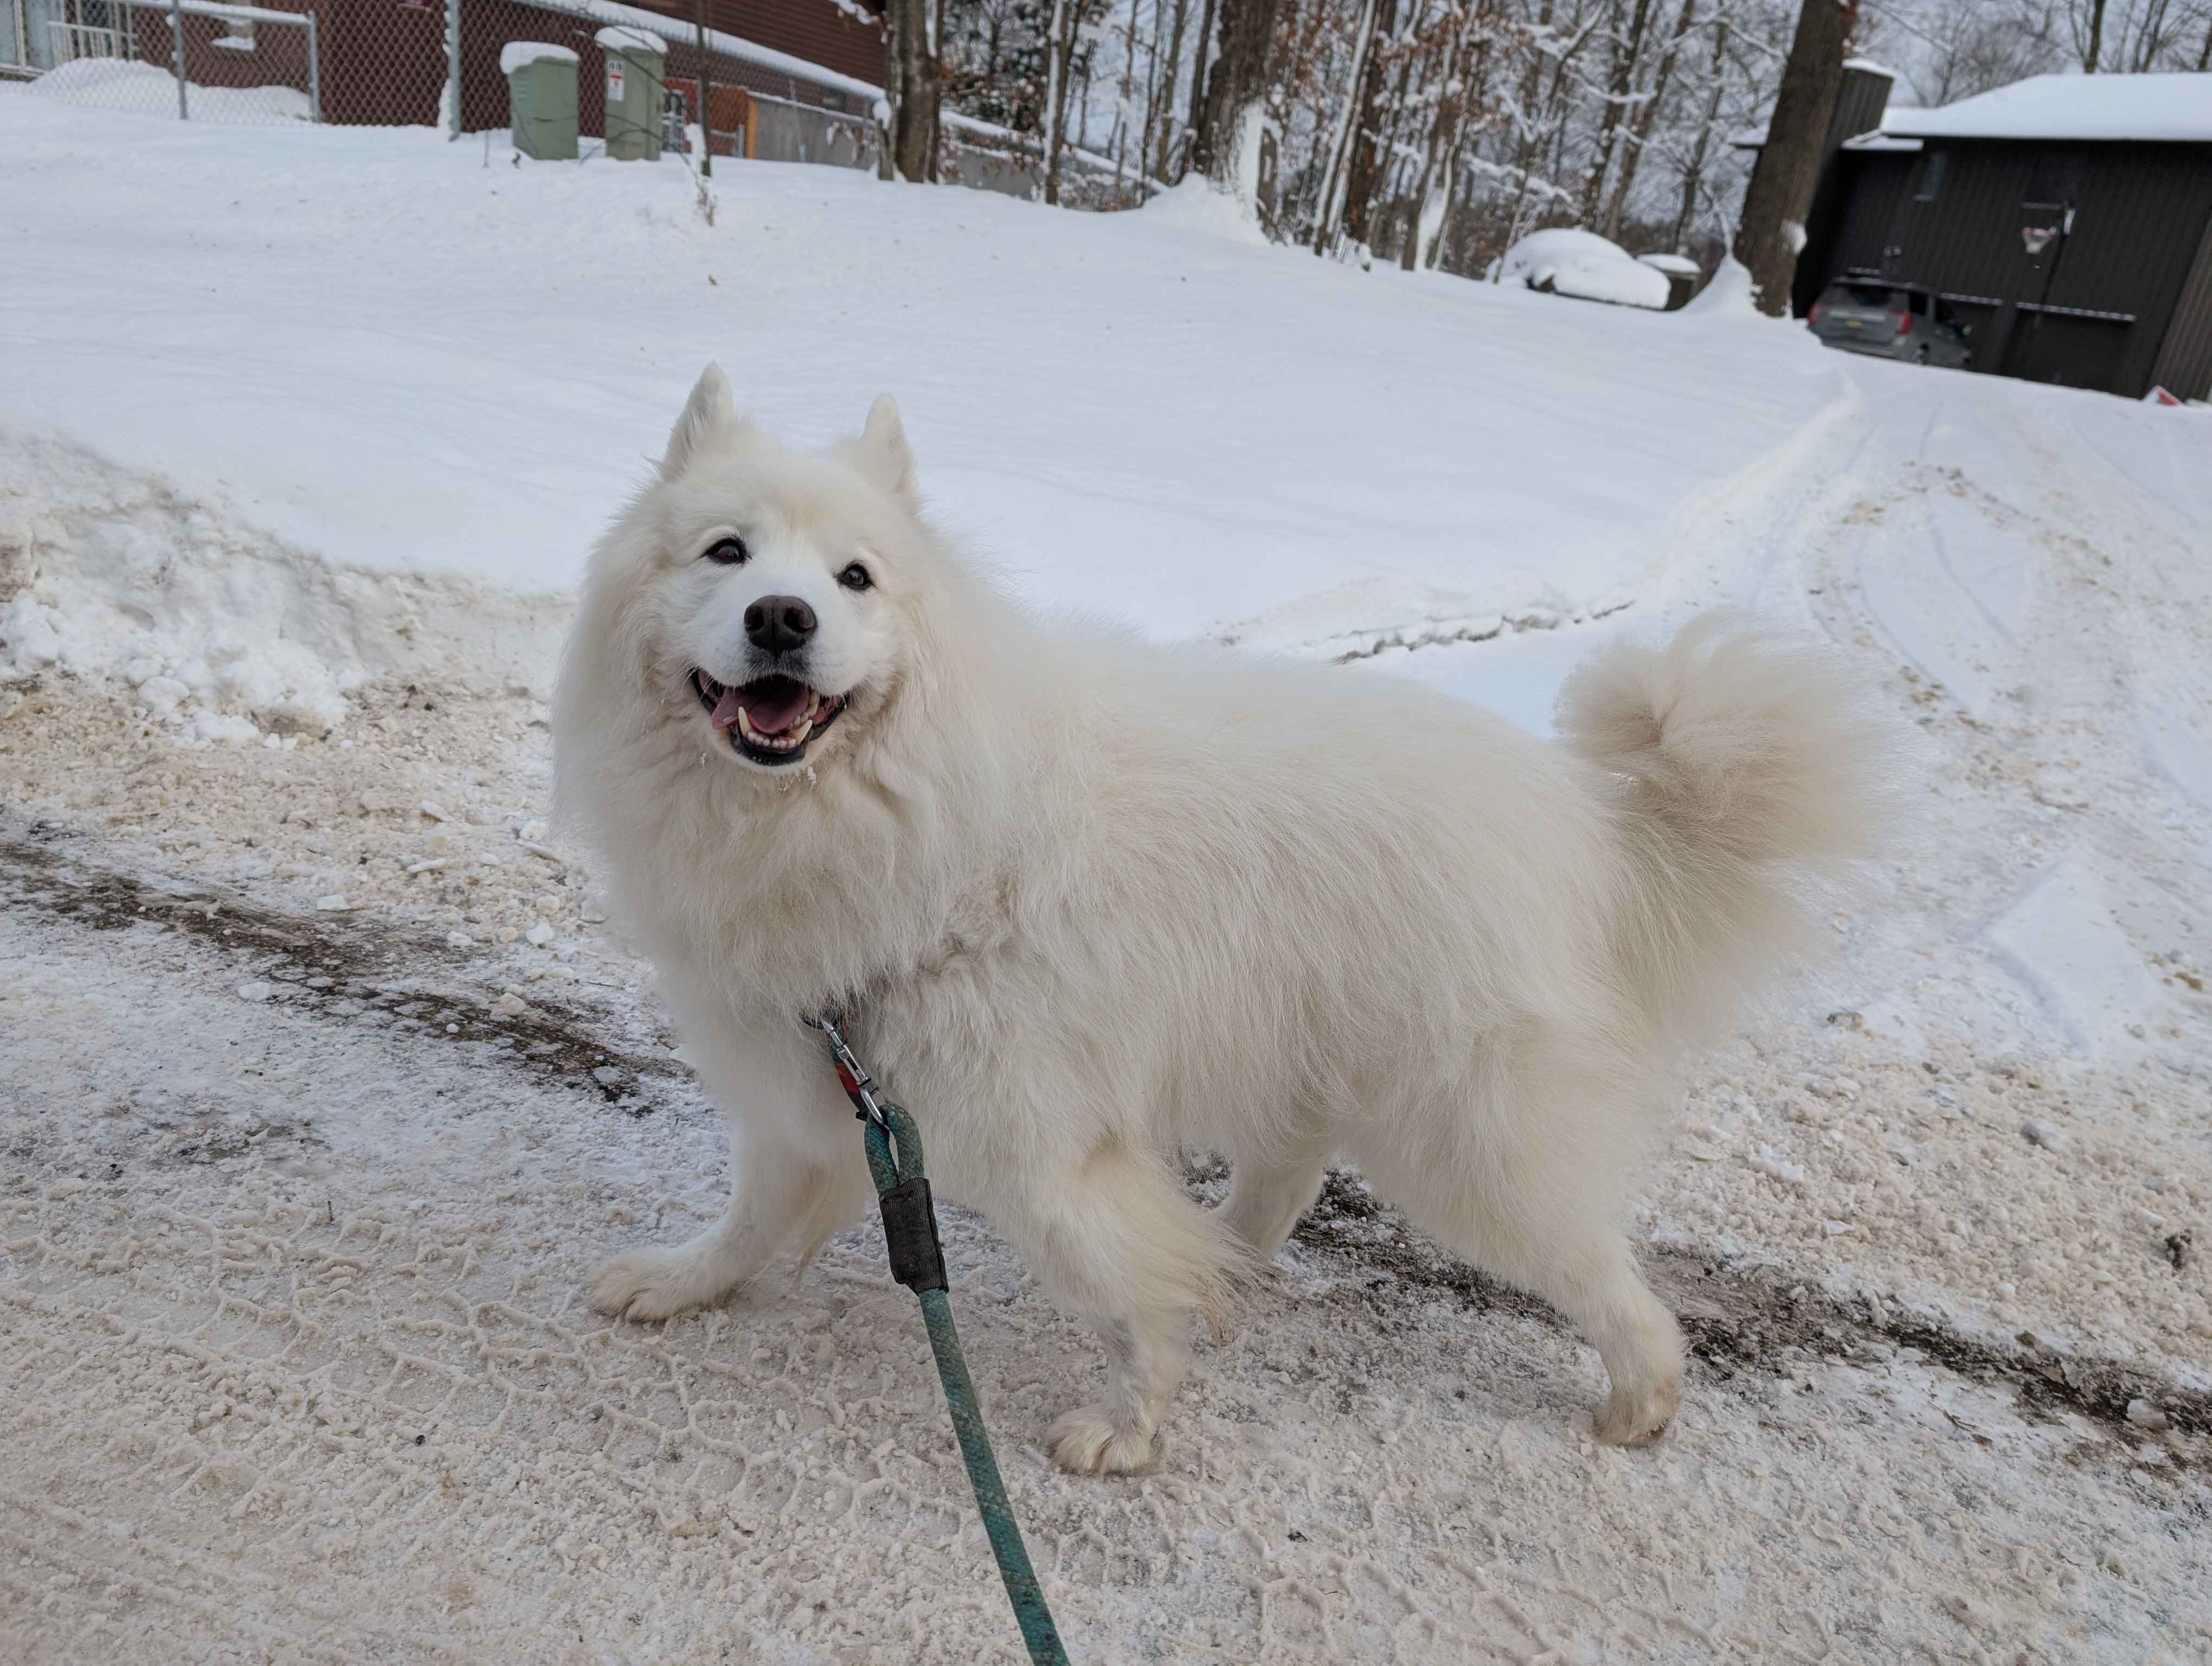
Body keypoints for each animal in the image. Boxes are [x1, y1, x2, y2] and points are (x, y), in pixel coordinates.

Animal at [562, 369, 1893, 1478]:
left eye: (855, 580)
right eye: (726, 552)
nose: (781, 618)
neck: (891, 818)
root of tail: (1583, 823)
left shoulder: (1034, 1140)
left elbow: (1130, 1298)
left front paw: (1129, 1430)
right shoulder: (818, 1082)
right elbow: (748, 1217)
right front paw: (679, 1284)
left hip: (1466, 1139)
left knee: (1599, 1268)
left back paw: (1640, 1399)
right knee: (1293, 1165)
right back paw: (1239, 1258)